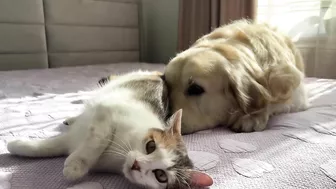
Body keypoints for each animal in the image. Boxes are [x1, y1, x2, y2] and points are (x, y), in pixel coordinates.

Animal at [7, 70, 213, 189]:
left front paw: (18, 146)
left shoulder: (73, 140)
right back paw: (71, 117)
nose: (136, 164)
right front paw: (76, 165)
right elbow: (98, 138)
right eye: (151, 146)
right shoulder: (108, 110)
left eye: (160, 176)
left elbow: (53, 146)